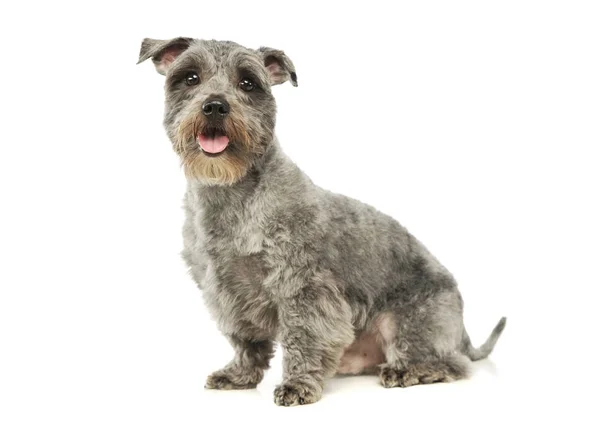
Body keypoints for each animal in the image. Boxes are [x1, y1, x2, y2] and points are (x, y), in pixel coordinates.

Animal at [137, 37, 506, 408]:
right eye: (190, 78)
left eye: (248, 83)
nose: (215, 106)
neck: (231, 194)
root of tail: (461, 329)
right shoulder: (226, 292)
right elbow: (246, 340)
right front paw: (241, 374)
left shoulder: (304, 287)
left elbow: (303, 336)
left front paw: (297, 383)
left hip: (410, 324)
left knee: (449, 363)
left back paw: (408, 370)